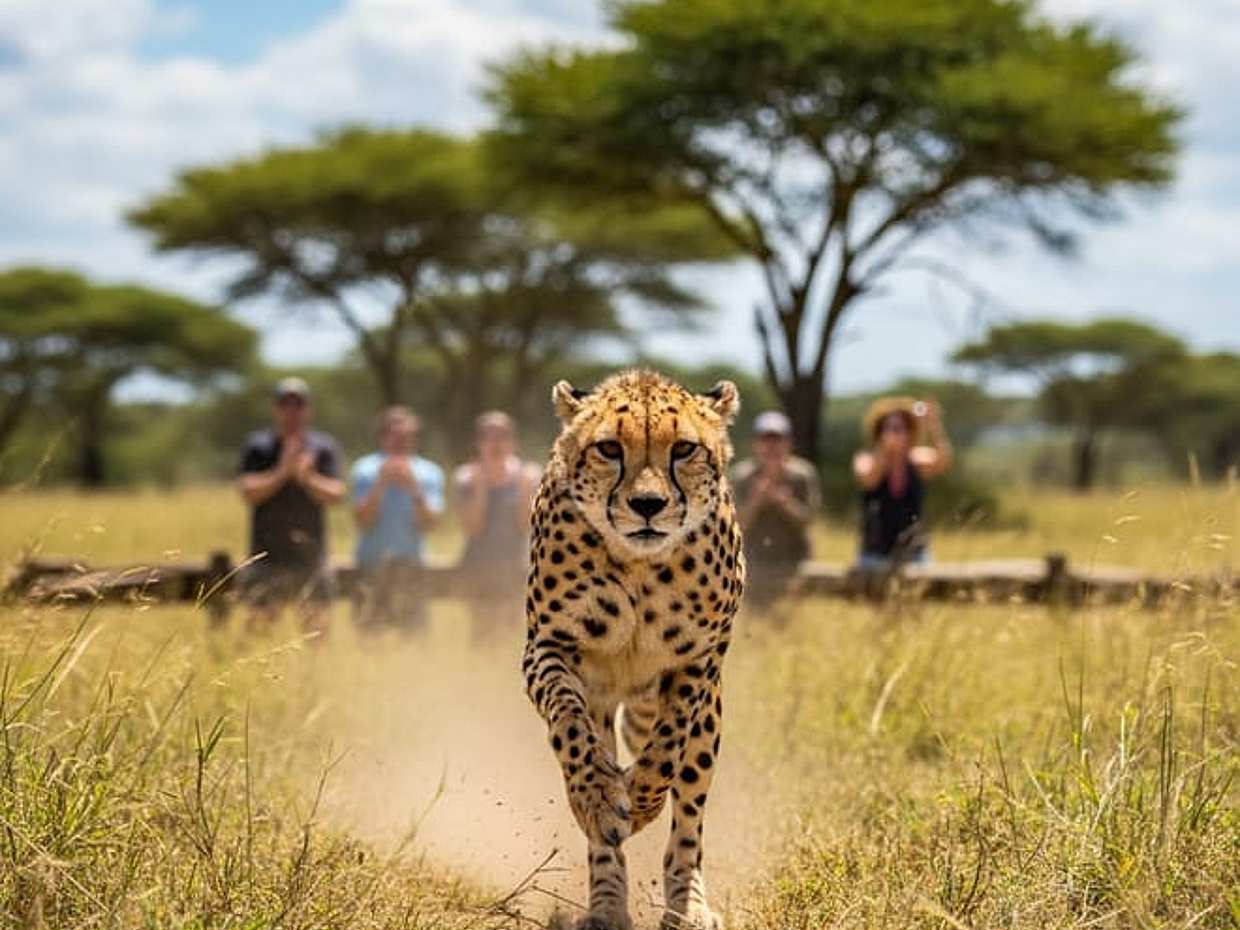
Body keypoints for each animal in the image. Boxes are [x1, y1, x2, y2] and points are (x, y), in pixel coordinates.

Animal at [521, 369, 745, 930]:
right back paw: (606, 903)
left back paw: (687, 905)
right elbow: (571, 727)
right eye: (608, 449)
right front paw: (600, 800)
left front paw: (641, 801)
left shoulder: (699, 662)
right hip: (603, 699)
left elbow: (666, 748)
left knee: (689, 816)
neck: (641, 564)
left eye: (684, 449)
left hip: (707, 720)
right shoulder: (549, 647)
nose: (648, 505)